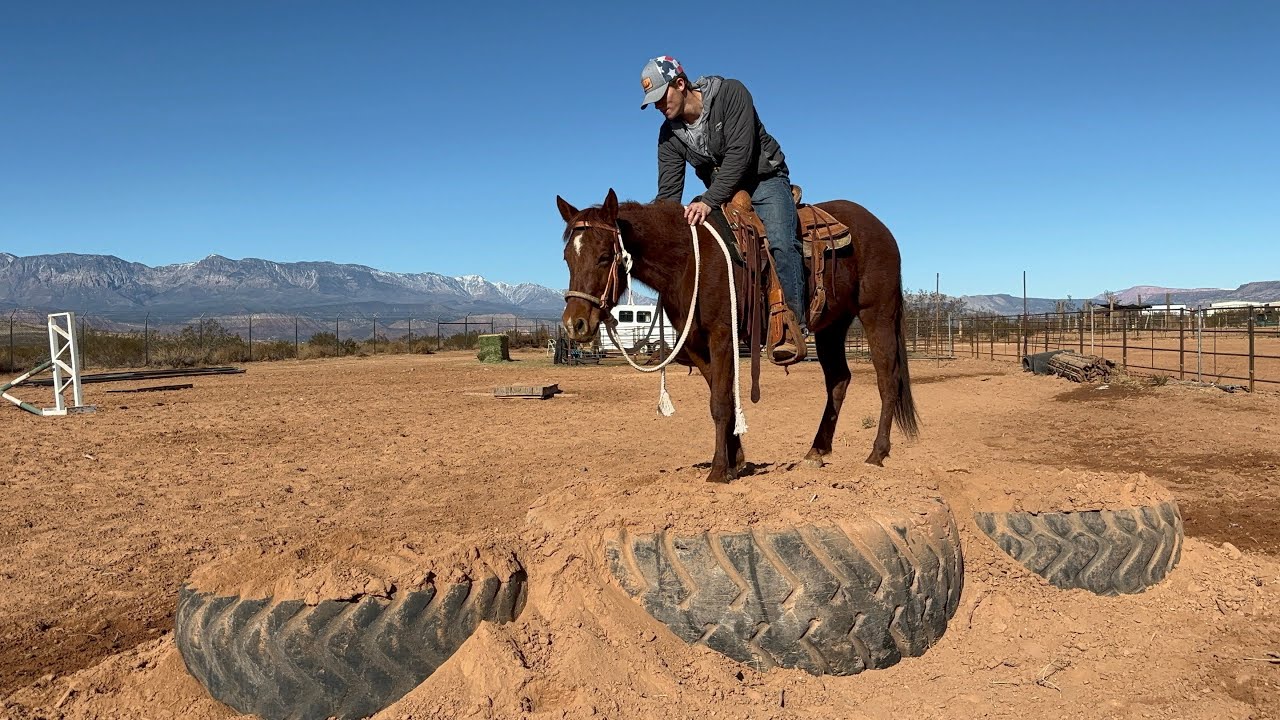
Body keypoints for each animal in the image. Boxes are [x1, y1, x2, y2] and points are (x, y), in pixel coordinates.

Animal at [558, 189, 918, 483]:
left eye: (604, 256)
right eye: (567, 258)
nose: (575, 324)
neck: (689, 259)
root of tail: (883, 231)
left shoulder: (721, 335)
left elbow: (719, 402)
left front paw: (719, 470)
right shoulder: (698, 344)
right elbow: (724, 399)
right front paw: (736, 461)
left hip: (877, 314)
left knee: (888, 379)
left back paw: (877, 453)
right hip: (832, 326)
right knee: (839, 381)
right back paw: (816, 451)